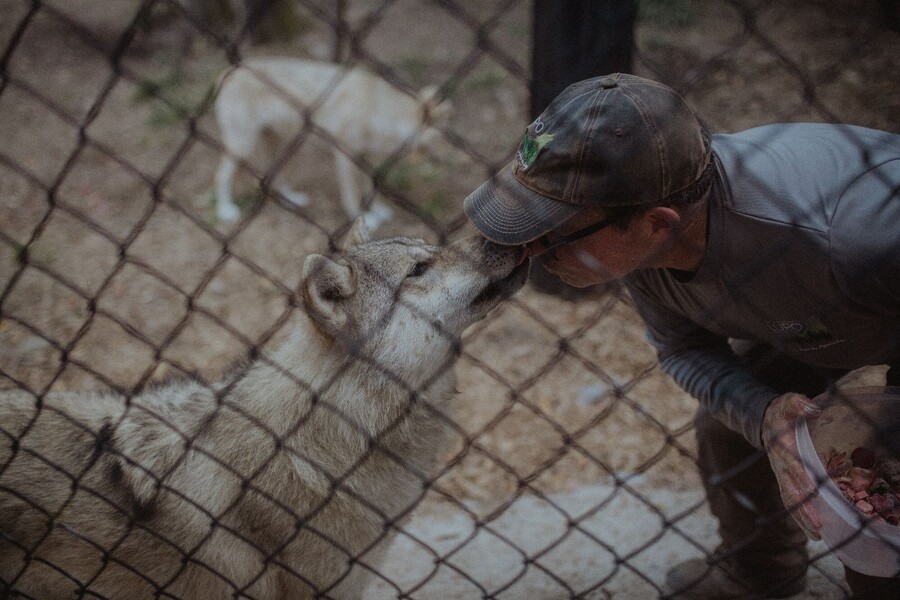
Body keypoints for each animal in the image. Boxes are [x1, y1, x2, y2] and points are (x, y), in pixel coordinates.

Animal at [215, 57, 454, 229]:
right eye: (443, 137)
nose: (450, 156)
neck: (377, 110)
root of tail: (229, 71)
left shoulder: (365, 157)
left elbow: (370, 187)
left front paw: (378, 210)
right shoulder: (344, 156)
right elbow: (352, 194)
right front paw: (363, 218)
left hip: (282, 145)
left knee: (272, 176)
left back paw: (291, 200)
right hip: (243, 145)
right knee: (222, 176)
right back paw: (226, 210)